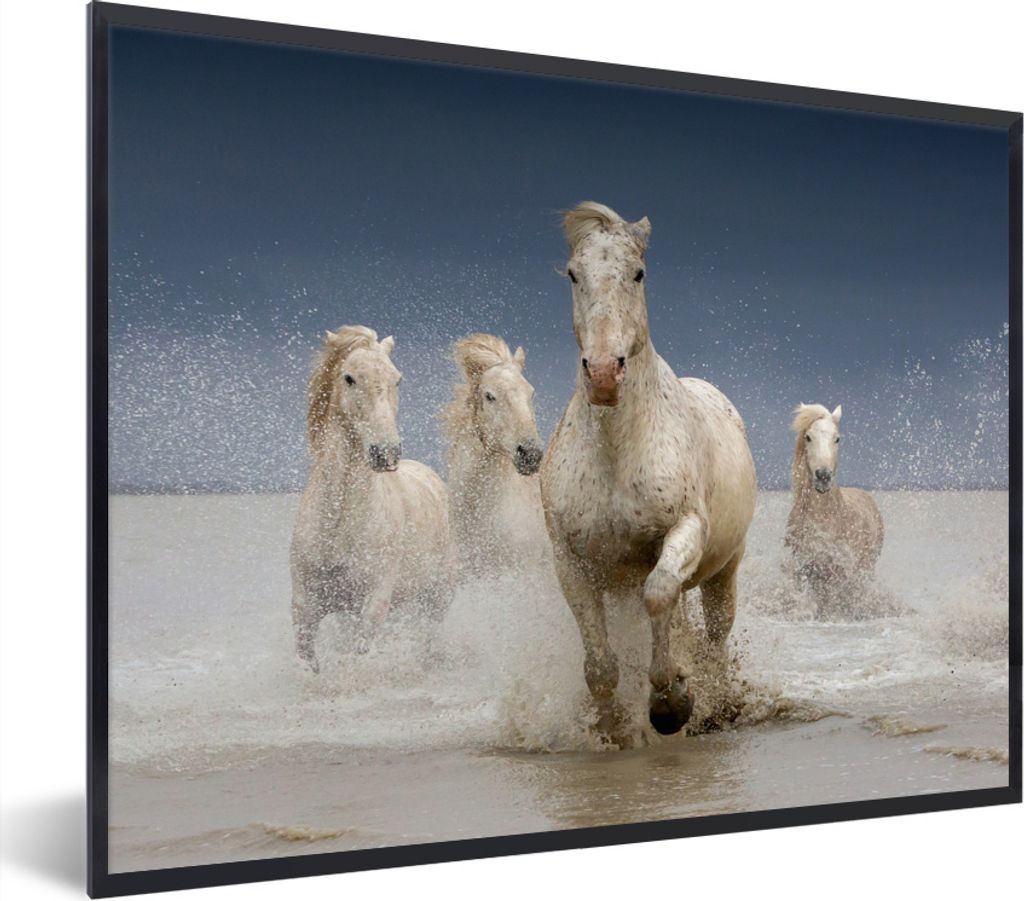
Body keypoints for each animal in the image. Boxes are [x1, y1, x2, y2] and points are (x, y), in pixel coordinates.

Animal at [290, 325, 454, 672]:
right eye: (349, 377)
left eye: (397, 379)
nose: (386, 453)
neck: (339, 523)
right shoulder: (307, 605)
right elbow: (308, 658)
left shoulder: (374, 601)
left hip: (436, 599)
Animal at [540, 201, 757, 742]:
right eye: (573, 274)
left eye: (638, 273)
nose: (603, 374)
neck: (617, 451)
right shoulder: (572, 562)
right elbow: (600, 666)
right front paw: (610, 728)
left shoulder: (684, 530)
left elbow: (659, 595)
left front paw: (671, 704)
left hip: (725, 569)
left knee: (715, 634)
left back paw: (715, 703)